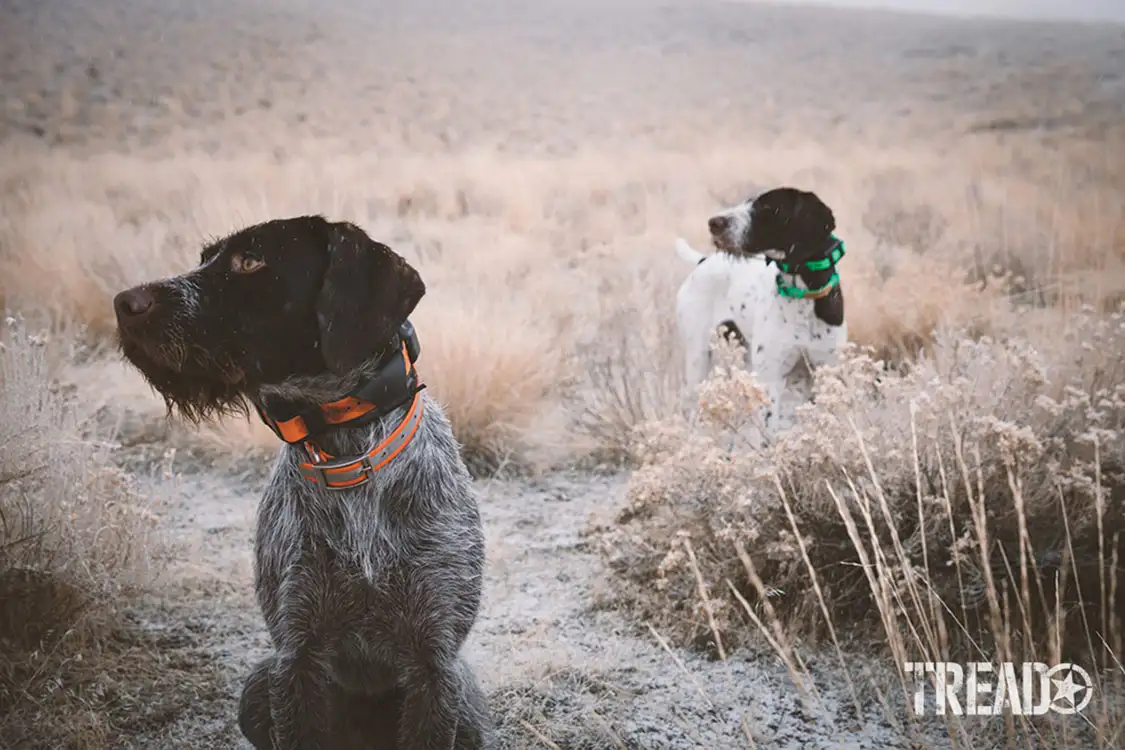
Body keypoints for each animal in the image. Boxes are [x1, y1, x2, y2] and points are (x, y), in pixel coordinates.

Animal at [675, 187, 846, 431]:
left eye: (768, 207)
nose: (714, 223)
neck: (802, 295)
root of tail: (703, 261)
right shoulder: (771, 379)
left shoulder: (826, 371)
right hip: (698, 359)